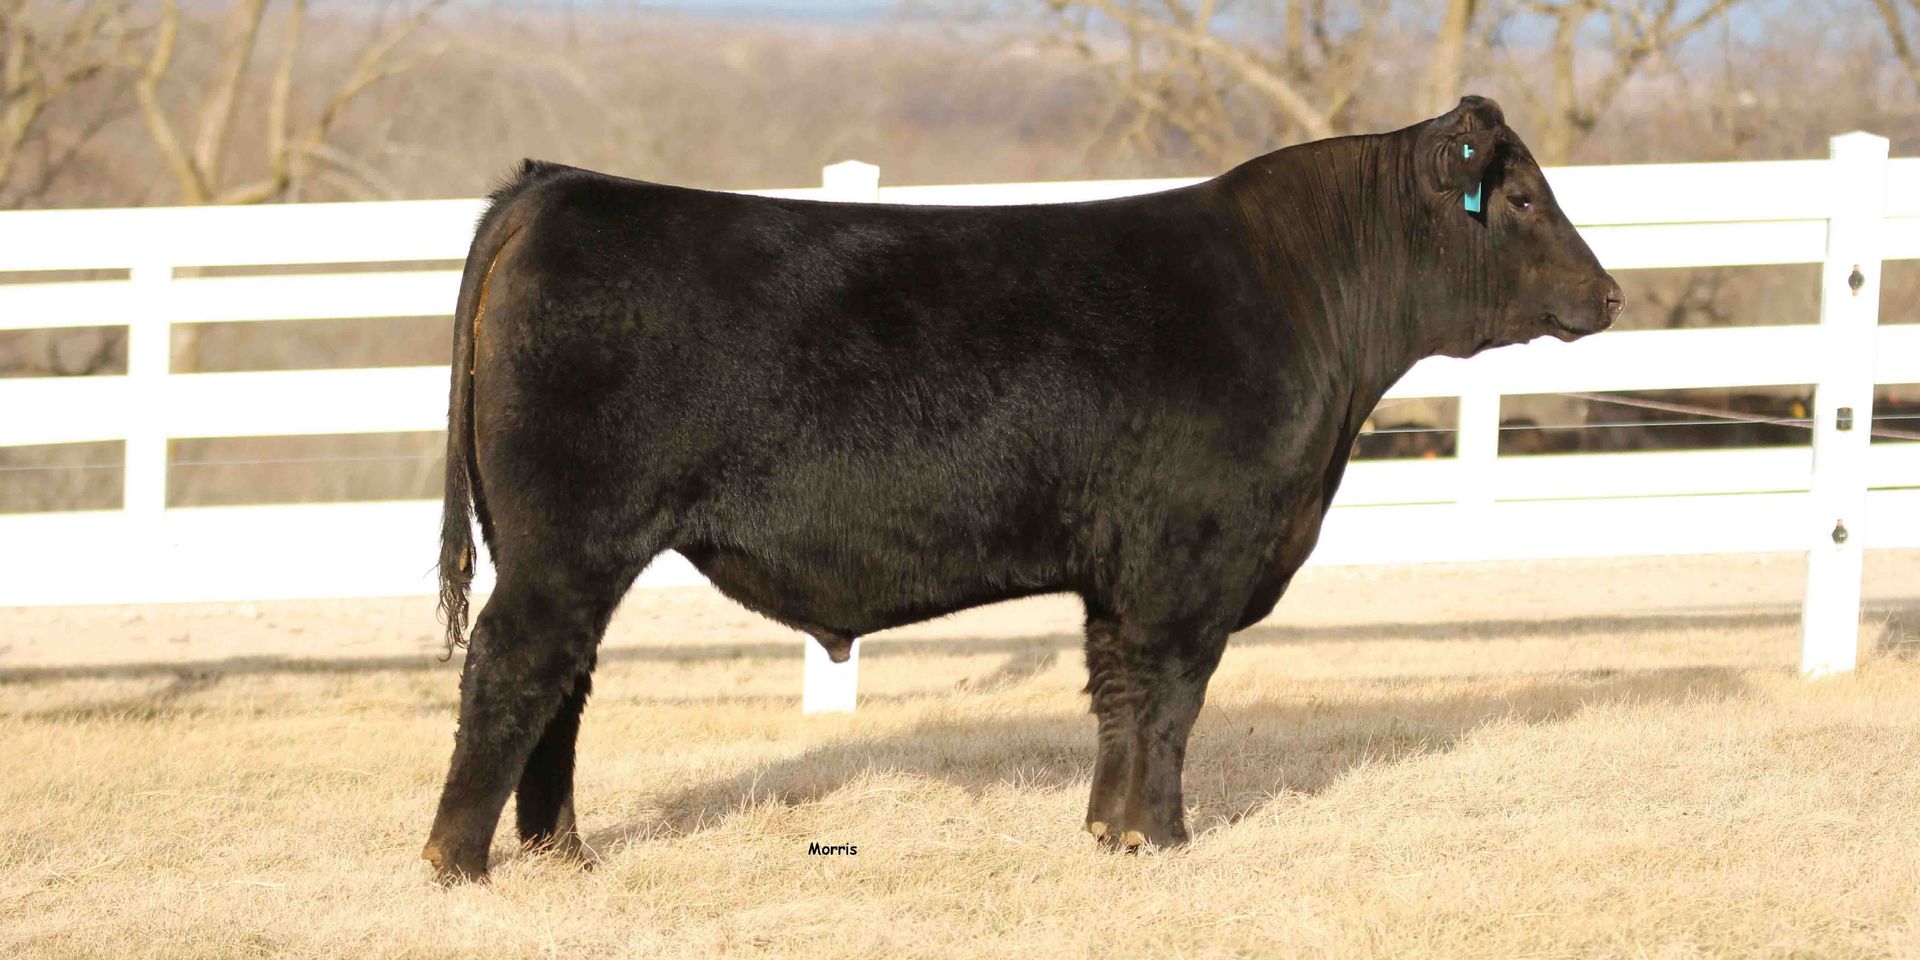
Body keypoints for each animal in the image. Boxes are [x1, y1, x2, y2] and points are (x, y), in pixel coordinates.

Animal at [421, 96, 1622, 882]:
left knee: (564, 682)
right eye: (1520, 196)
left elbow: (1118, 696)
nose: (1608, 294)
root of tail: (560, 186)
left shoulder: (1122, 568)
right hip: (569, 538)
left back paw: (561, 853)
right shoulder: (1194, 555)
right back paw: (458, 861)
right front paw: (1163, 841)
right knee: (514, 668)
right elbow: (1172, 697)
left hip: (559, 543)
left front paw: (1107, 832)